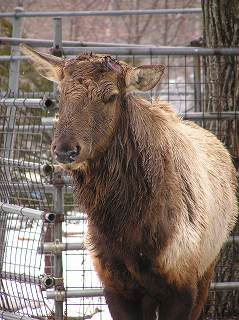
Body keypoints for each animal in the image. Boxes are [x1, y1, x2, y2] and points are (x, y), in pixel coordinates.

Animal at [20, 45, 237, 320]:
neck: (129, 229)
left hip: (207, 269)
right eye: (61, 93)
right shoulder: (116, 286)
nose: (65, 150)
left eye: (111, 96)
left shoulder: (182, 286)